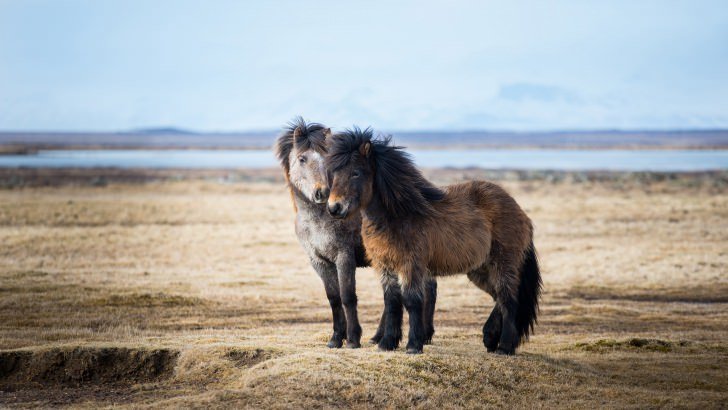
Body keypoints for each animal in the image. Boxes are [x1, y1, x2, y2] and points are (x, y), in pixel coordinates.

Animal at [326, 128, 540, 356]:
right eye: (334, 173)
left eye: (356, 172)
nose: (334, 208)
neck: (399, 214)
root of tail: (520, 212)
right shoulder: (385, 266)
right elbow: (391, 302)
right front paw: (387, 343)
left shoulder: (411, 265)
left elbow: (411, 301)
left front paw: (413, 346)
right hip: (479, 270)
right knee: (498, 297)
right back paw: (490, 338)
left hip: (503, 264)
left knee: (509, 300)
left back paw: (504, 347)